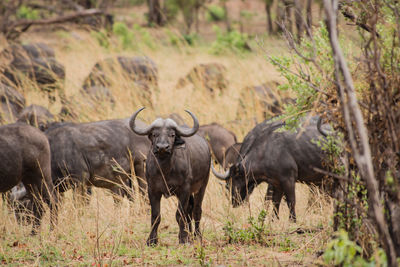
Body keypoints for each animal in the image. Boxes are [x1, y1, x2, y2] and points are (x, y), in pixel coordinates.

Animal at [130, 108, 212, 246]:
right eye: (154, 134)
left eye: (172, 135)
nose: (162, 147)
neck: (165, 170)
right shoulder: (152, 190)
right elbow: (156, 215)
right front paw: (151, 240)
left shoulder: (184, 190)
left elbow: (180, 215)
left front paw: (183, 239)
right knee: (190, 210)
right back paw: (190, 235)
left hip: (202, 186)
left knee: (196, 210)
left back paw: (197, 236)